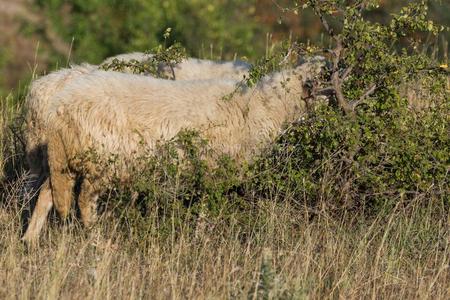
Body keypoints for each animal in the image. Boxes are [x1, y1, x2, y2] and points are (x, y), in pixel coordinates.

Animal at [21, 59, 324, 244]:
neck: (256, 109)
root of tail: (59, 108)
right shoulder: (213, 171)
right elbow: (207, 208)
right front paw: (202, 238)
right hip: (102, 160)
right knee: (83, 201)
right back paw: (99, 242)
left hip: (63, 160)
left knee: (48, 194)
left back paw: (30, 240)